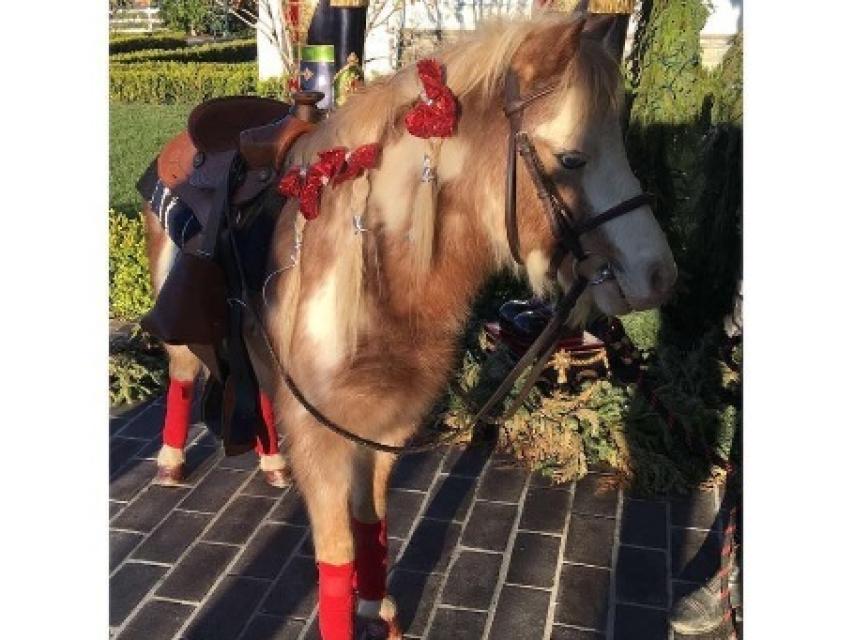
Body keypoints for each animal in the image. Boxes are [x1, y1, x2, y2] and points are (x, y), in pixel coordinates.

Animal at [143, 12, 676, 639]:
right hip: (183, 336)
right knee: (182, 375)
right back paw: (171, 465)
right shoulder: (323, 442)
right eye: (572, 159)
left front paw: (380, 611)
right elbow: (337, 556)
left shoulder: (386, 429)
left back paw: (272, 463)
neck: (375, 285)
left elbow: (372, 524)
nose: (658, 275)